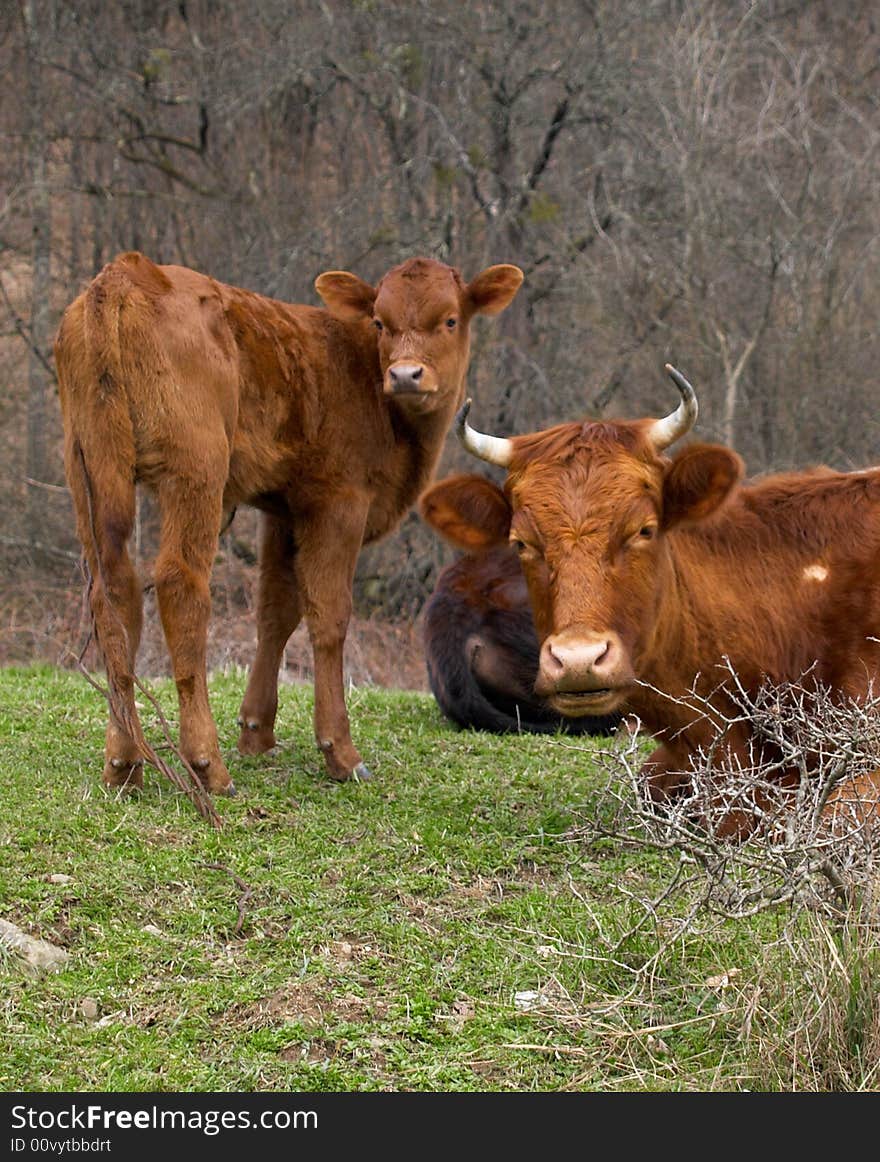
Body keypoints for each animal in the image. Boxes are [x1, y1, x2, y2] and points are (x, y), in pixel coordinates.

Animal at [56, 252, 520, 799]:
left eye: (449, 320)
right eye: (380, 322)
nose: (406, 374)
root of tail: (125, 274)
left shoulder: (283, 509)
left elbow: (277, 610)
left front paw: (257, 731)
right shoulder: (339, 501)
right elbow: (329, 615)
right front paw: (340, 752)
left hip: (89, 463)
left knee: (113, 591)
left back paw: (123, 762)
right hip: (196, 467)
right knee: (178, 585)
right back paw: (207, 763)